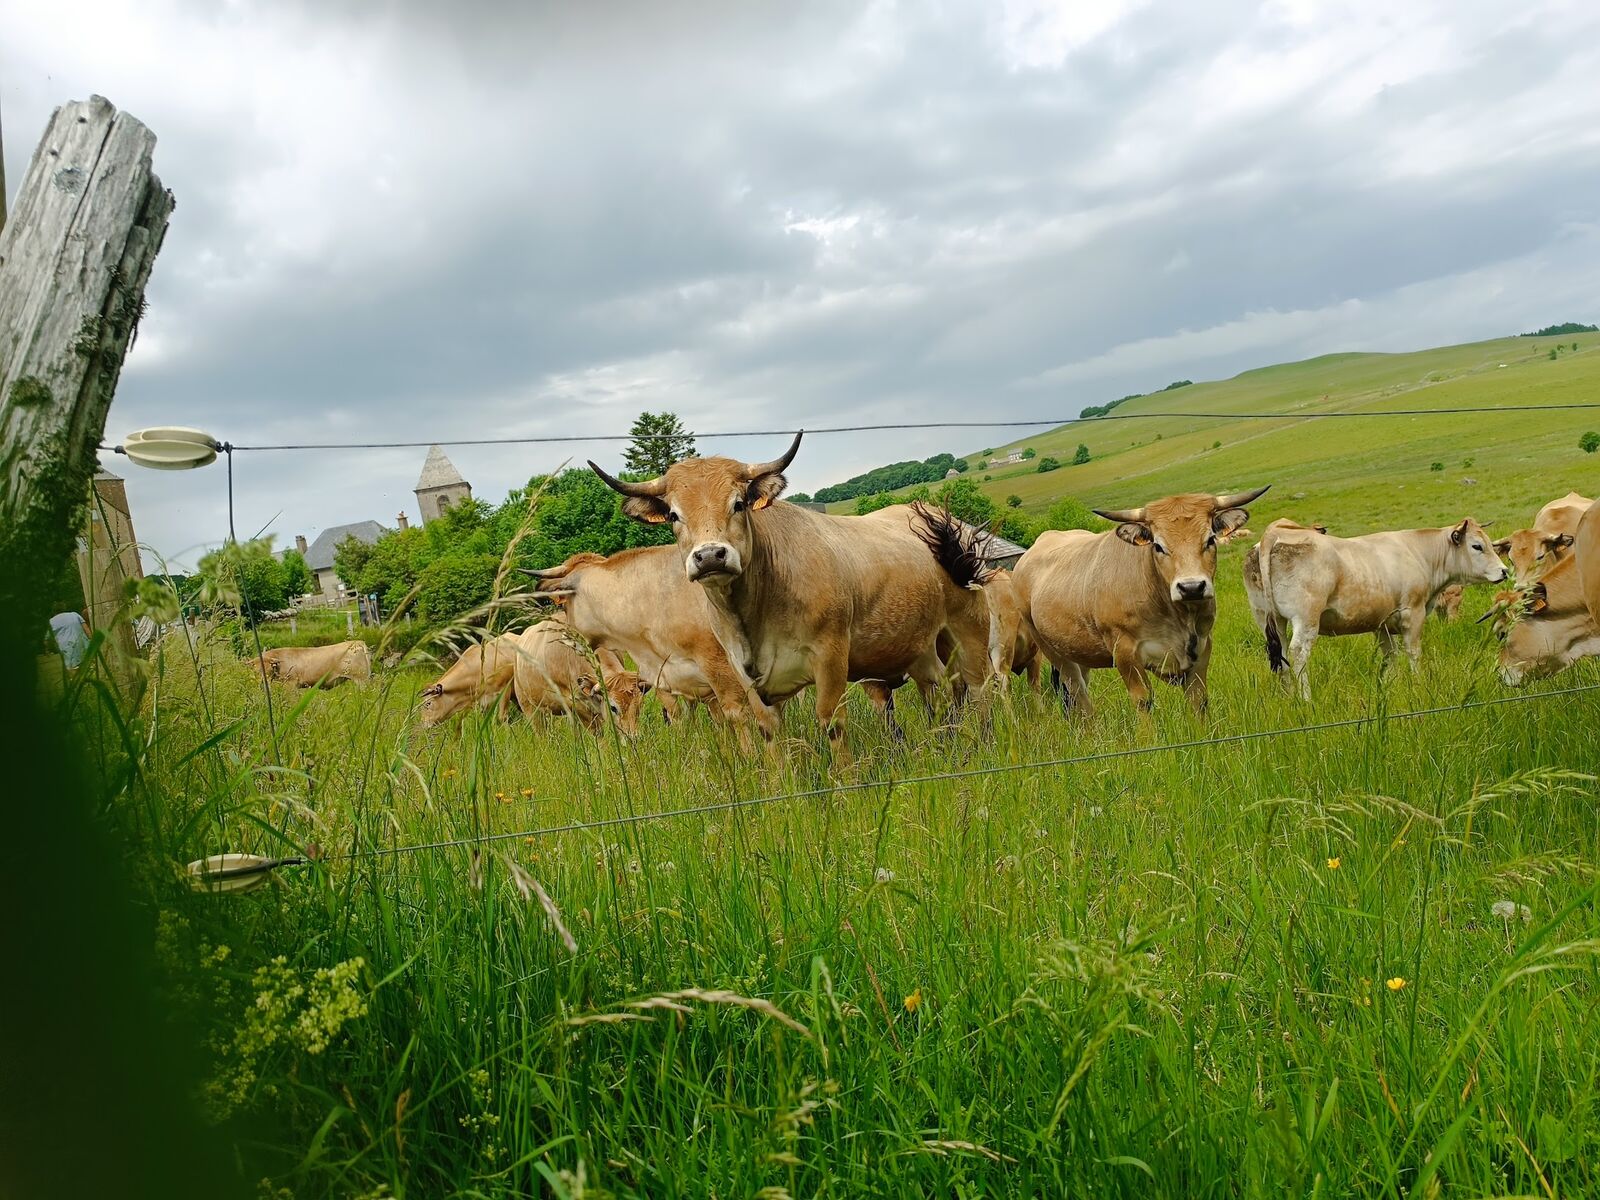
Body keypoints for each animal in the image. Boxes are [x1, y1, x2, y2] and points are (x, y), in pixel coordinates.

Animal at [589, 432, 993, 749]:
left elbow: (832, 725)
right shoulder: (747, 679)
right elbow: (770, 738)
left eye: (738, 503)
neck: (752, 615)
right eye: (673, 515)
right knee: (943, 694)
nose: (710, 556)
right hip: (922, 648)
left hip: (970, 635)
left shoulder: (830, 657)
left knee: (980, 691)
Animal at [1015, 486, 1270, 713]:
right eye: (1158, 546)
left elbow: (1198, 700)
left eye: (1210, 540)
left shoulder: (1202, 646)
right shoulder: (1125, 653)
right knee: (1078, 694)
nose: (1191, 587)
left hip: (1076, 651)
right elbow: (1143, 701)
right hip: (1052, 651)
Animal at [1254, 517, 1507, 697]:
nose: (1504, 571)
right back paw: (1306, 699)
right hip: (1306, 620)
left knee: (1282, 655)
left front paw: (1388, 688)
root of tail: (1274, 533)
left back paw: (1290, 698)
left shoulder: (1382, 623)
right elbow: (1413, 653)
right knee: (1298, 654)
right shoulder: (1413, 613)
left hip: (1274, 620)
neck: (1418, 552)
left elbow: (1390, 655)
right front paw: (1418, 685)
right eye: (1477, 546)